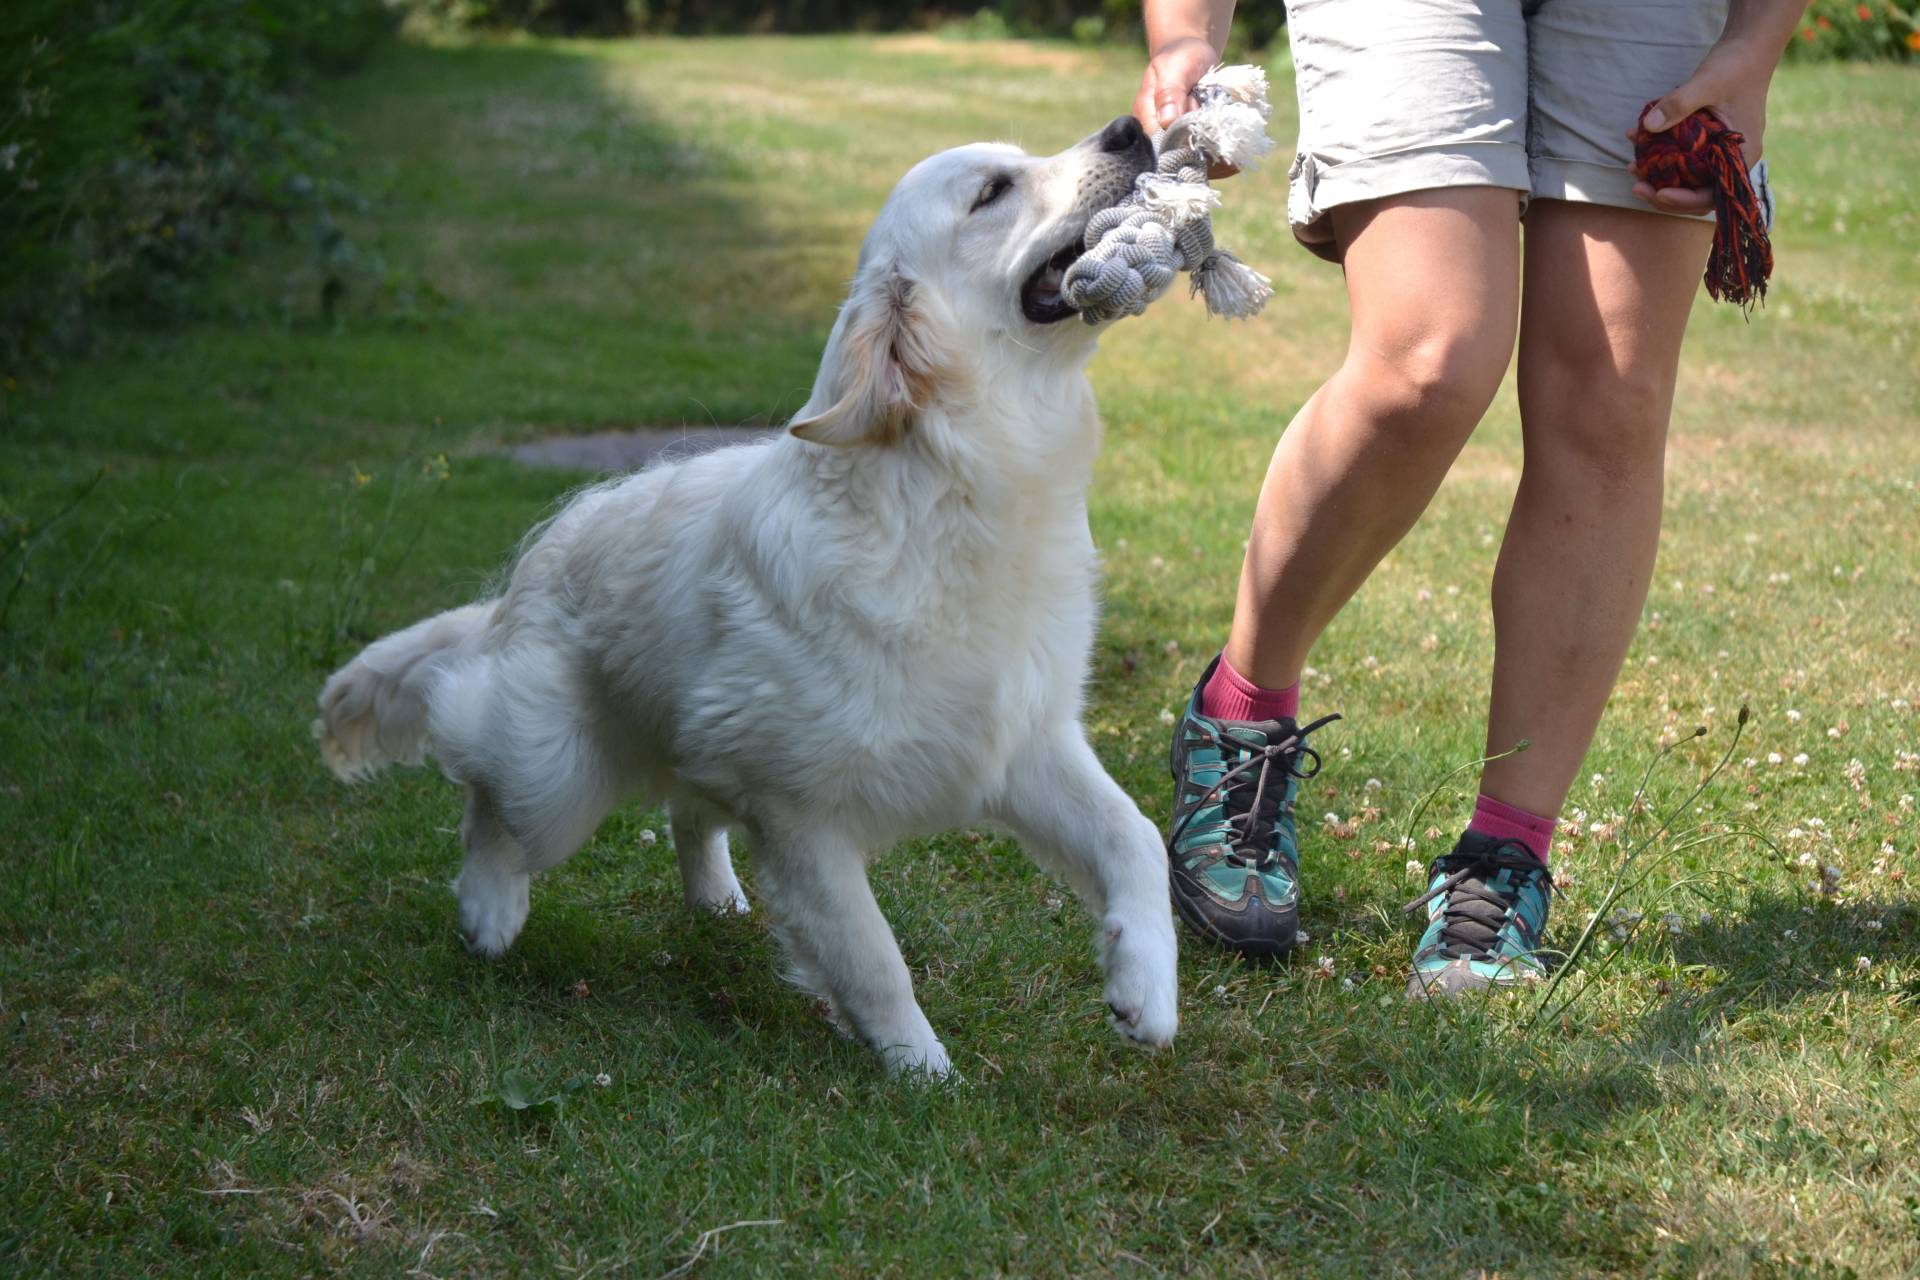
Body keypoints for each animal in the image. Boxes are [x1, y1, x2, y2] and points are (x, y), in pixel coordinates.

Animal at [314, 115, 1167, 1074]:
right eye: (992, 192)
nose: (1133, 128)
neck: (958, 492)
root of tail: (525, 582)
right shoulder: (801, 818)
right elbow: (873, 960)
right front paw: (923, 1074)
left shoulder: (1024, 745)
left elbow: (1136, 837)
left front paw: (1145, 990)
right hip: (554, 769)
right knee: (482, 785)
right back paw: (489, 911)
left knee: (686, 811)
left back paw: (714, 898)